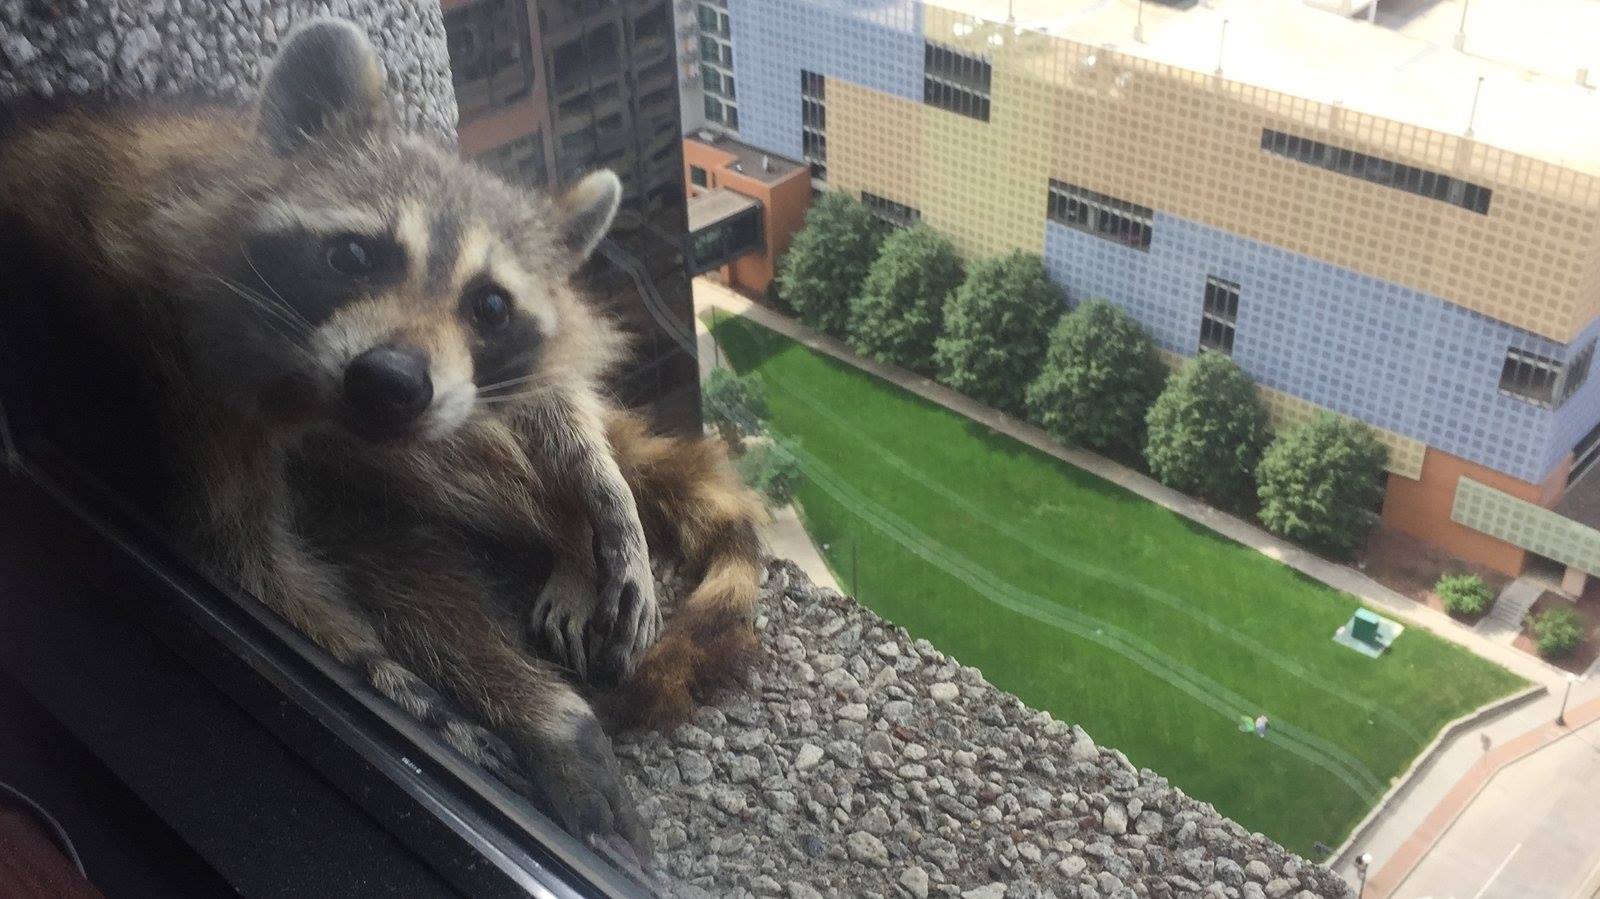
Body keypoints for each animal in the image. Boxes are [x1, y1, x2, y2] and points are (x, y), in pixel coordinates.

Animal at [0, 19, 764, 857]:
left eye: (490, 306)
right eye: (354, 255)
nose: (391, 381)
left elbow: (538, 397)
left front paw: (597, 491)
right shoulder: (185, 368)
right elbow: (244, 553)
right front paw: (398, 677)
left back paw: (563, 545)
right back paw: (540, 691)